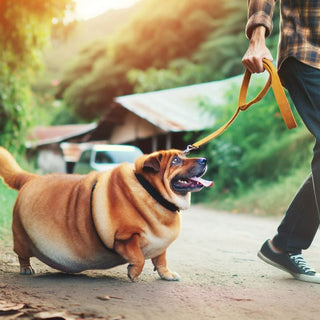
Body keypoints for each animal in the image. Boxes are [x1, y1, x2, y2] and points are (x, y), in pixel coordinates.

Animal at [0, 146, 212, 282]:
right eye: (176, 160)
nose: (204, 160)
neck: (152, 191)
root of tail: (32, 178)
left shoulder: (161, 244)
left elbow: (161, 259)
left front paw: (166, 274)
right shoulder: (125, 237)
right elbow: (138, 257)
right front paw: (134, 273)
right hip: (21, 238)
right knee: (22, 255)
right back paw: (26, 268)